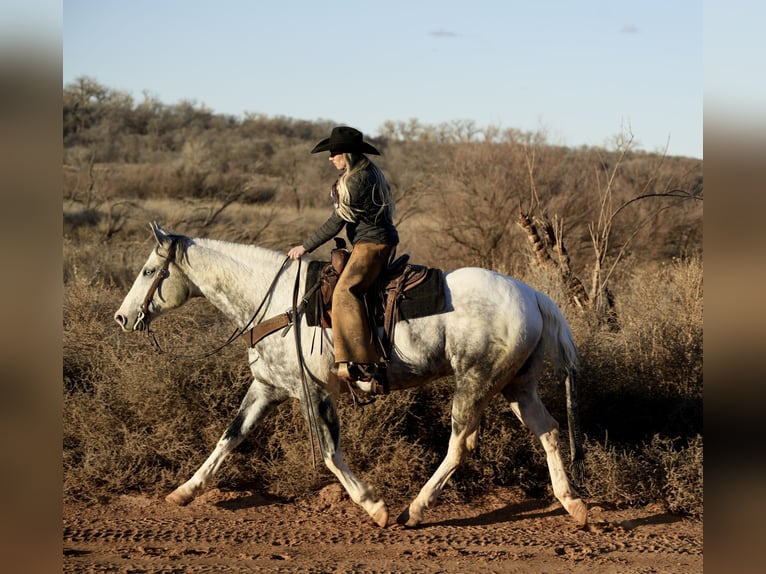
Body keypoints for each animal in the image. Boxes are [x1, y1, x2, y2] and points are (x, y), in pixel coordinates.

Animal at [114, 223, 592, 528]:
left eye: (147, 271)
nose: (122, 318)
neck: (279, 304)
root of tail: (533, 294)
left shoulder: (314, 392)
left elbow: (329, 452)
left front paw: (374, 506)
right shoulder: (267, 387)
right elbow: (229, 438)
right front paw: (184, 492)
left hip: (474, 383)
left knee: (460, 445)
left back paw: (412, 511)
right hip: (516, 386)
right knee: (549, 431)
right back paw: (573, 504)